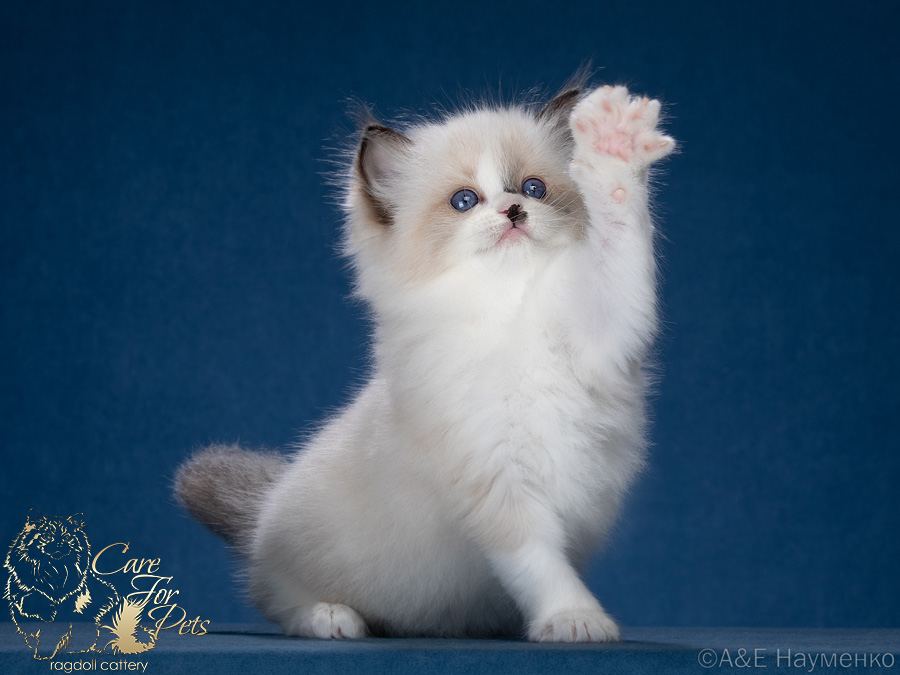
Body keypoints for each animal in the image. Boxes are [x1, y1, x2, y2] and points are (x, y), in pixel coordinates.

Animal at [174, 83, 676, 644]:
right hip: (292, 552)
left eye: (533, 188)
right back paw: (333, 618)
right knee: (279, 600)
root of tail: (263, 507)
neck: (507, 314)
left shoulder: (603, 328)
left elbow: (617, 238)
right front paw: (573, 617)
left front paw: (614, 145)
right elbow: (539, 564)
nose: (513, 210)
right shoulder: (492, 479)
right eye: (465, 201)